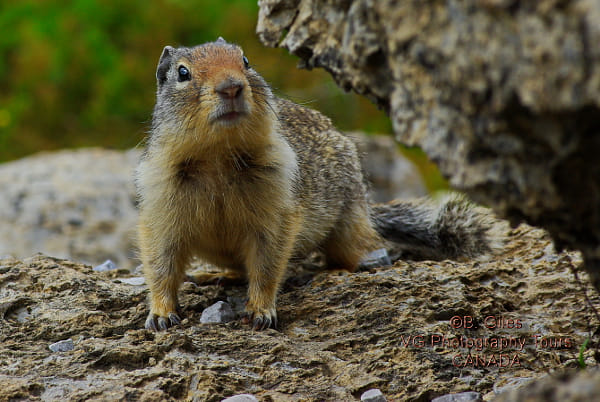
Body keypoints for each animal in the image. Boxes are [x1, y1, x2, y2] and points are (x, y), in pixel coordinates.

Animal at [137, 39, 506, 332]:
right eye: (182, 73)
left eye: (245, 61)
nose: (231, 87)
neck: (217, 156)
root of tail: (366, 208)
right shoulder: (160, 205)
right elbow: (160, 264)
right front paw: (161, 315)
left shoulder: (277, 211)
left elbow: (267, 264)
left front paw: (261, 311)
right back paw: (214, 276)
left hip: (349, 219)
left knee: (360, 246)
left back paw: (370, 260)